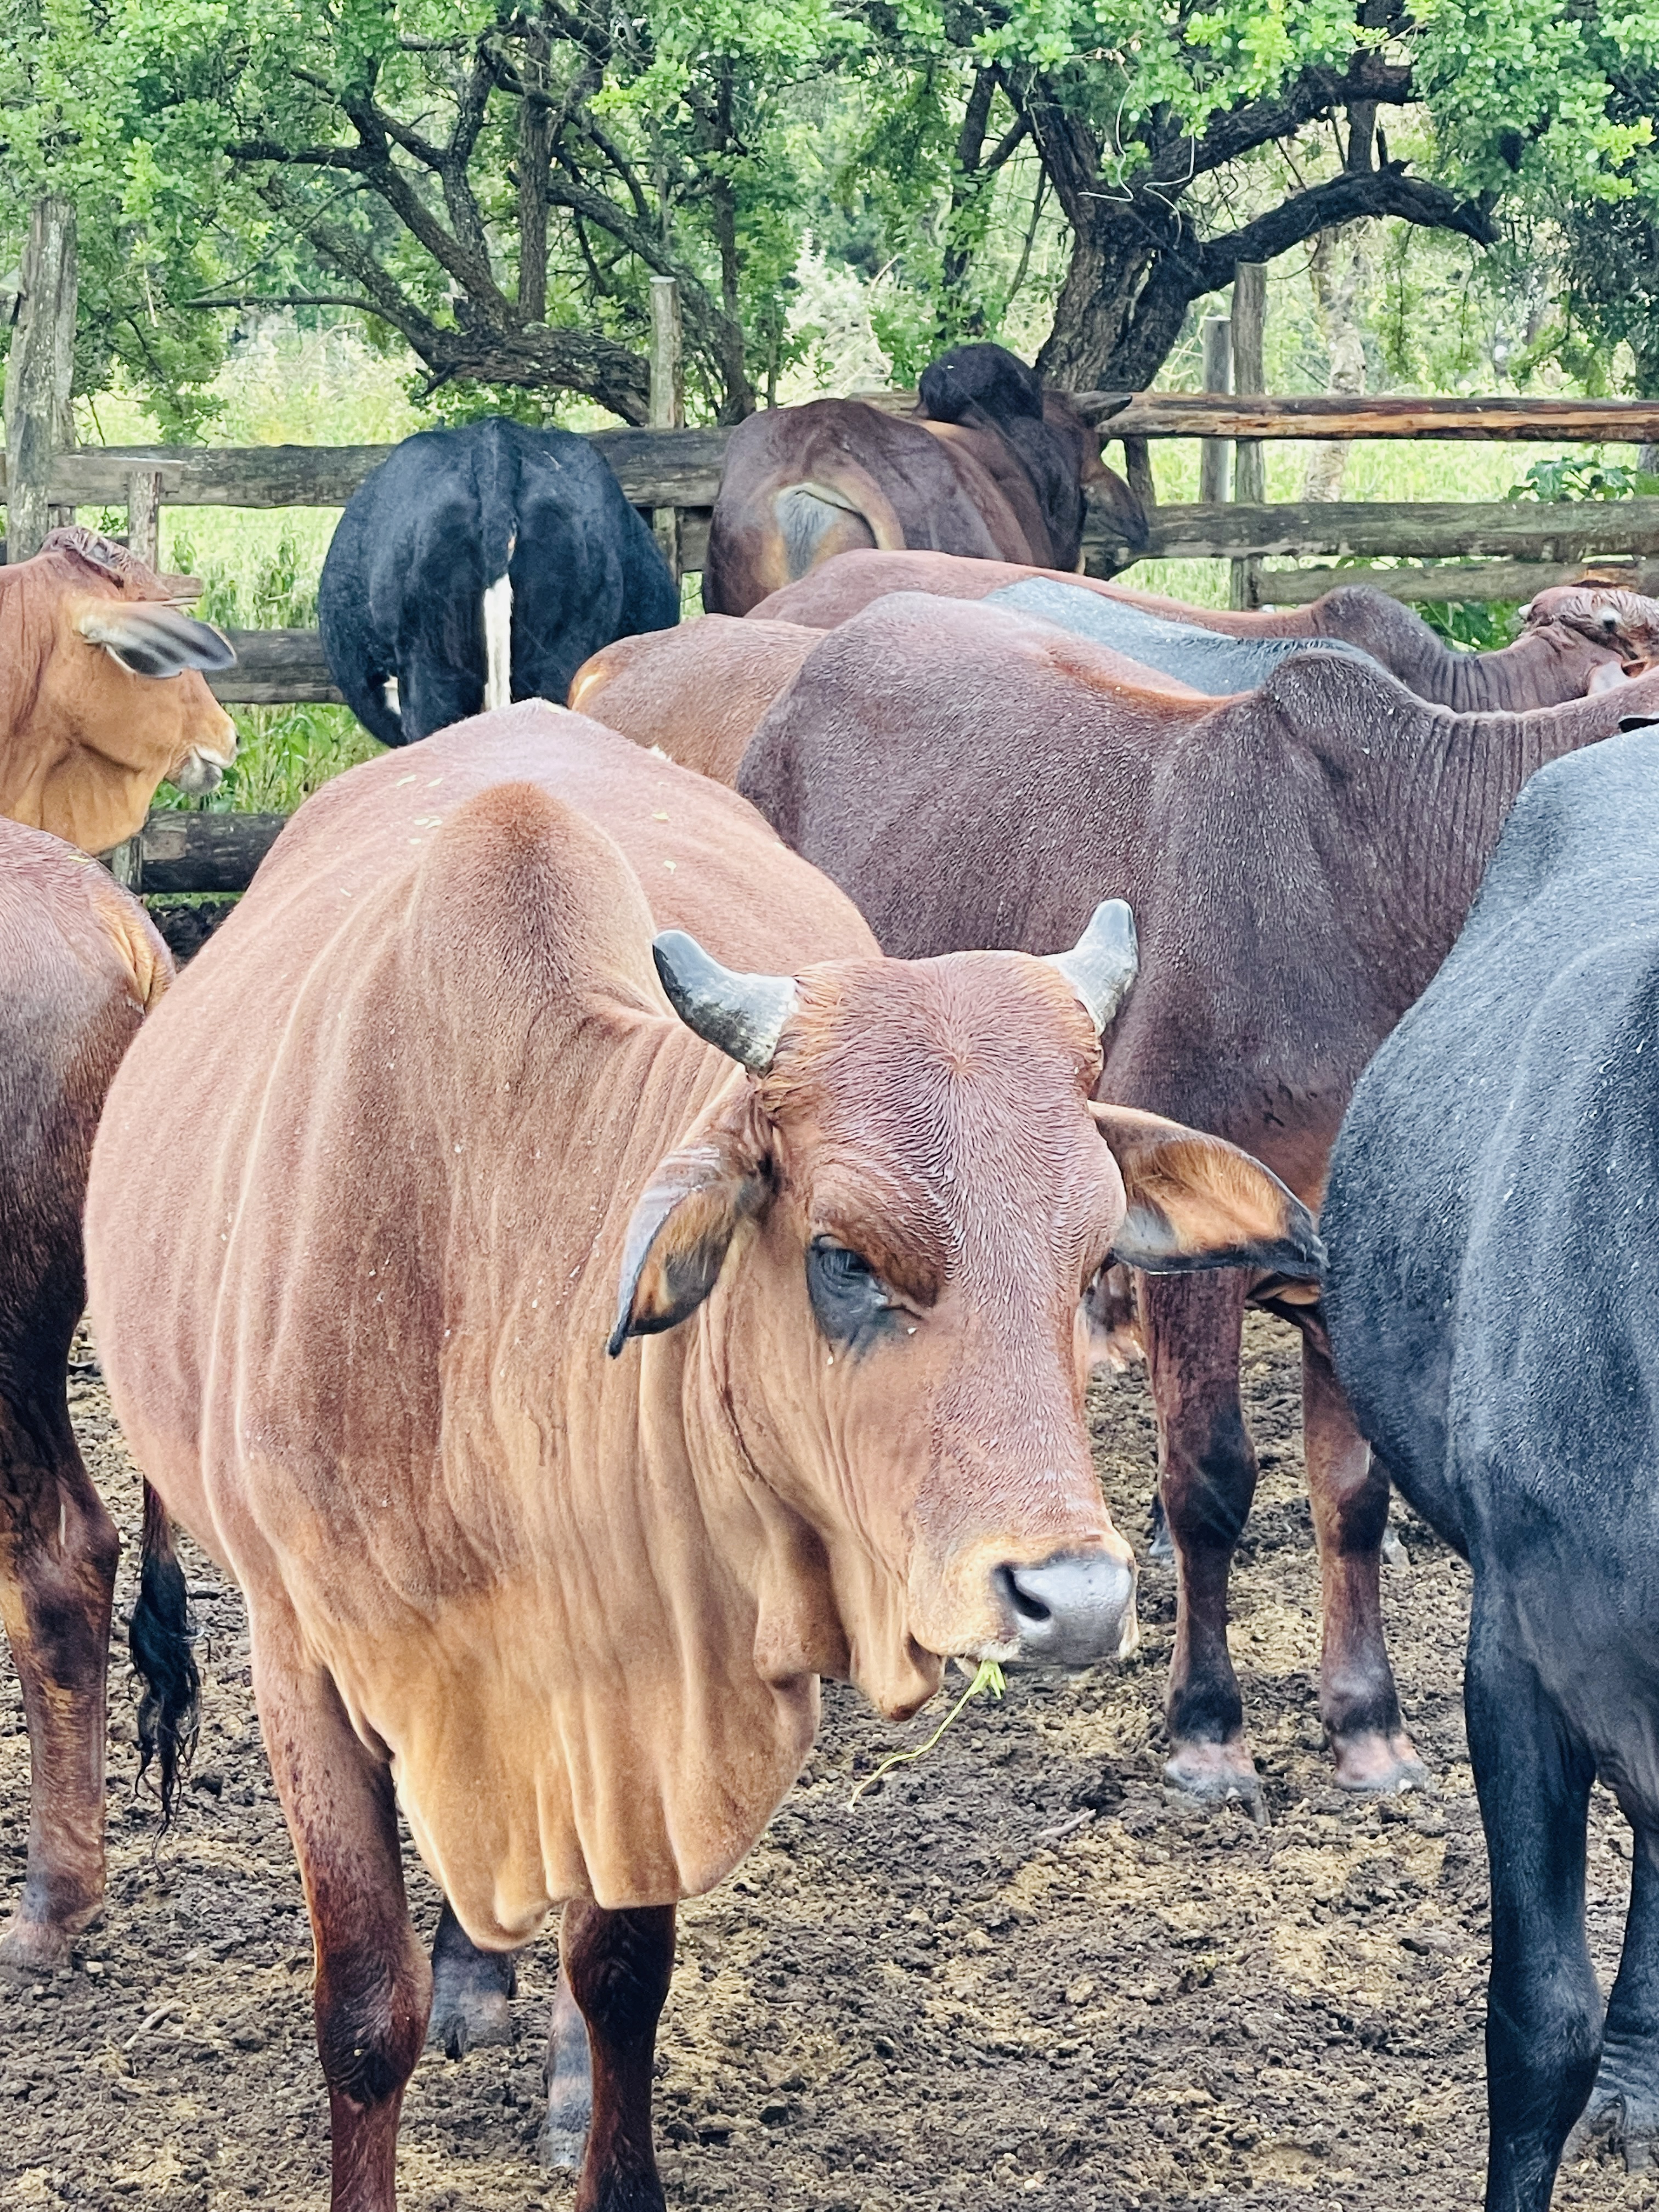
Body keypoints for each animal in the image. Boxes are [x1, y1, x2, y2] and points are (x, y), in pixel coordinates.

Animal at [84, 705, 1320, 2211]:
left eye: (1095, 1265)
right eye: (844, 1258)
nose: (1072, 1600)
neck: (476, 1254)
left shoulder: (652, 1677)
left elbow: (621, 1971)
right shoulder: (299, 1657)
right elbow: (365, 2016)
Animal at [733, 588, 1659, 1814]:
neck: (1389, 878)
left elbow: (1351, 1494)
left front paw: (1367, 1728)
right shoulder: (1191, 1259)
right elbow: (1209, 1481)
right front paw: (1206, 1733)